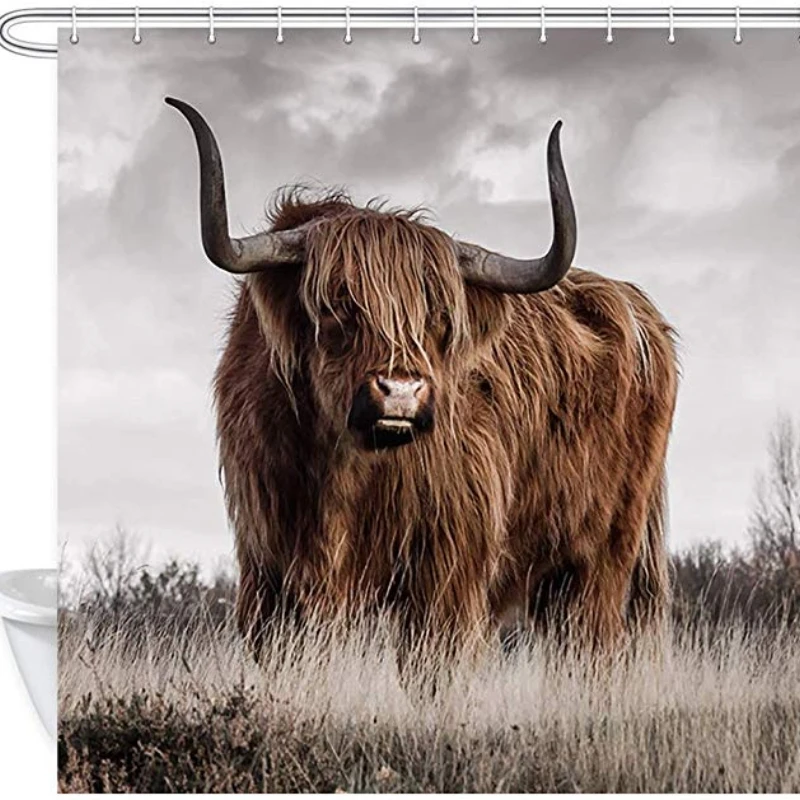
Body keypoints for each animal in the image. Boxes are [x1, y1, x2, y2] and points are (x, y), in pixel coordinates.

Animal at [166, 97, 679, 655]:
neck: (342, 473)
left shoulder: (448, 571)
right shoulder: (269, 570)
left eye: (440, 317)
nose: (401, 392)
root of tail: (639, 309)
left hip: (602, 559)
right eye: (337, 305)